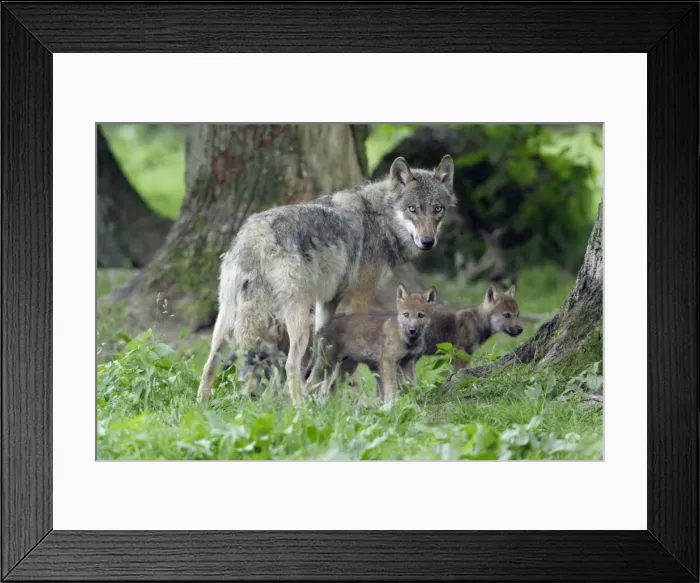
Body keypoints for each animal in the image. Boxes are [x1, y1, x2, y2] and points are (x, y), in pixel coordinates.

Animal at [306, 284, 437, 403]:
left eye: (420, 315)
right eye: (406, 315)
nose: (412, 330)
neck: (406, 339)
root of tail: (321, 329)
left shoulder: (408, 363)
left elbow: (412, 387)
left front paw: (413, 405)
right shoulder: (388, 362)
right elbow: (391, 389)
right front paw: (391, 406)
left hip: (347, 367)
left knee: (331, 387)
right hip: (327, 364)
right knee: (309, 383)